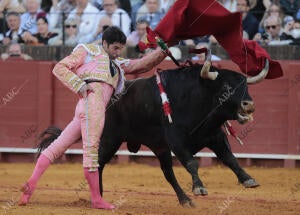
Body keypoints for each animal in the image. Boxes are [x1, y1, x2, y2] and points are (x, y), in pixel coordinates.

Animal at [38, 63, 260, 207]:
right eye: (226, 87)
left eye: (246, 86)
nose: (249, 105)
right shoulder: (176, 140)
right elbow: (191, 163)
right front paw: (199, 188)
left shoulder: (214, 136)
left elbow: (230, 158)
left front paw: (248, 179)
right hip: (109, 140)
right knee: (98, 163)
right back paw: (98, 197)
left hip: (159, 148)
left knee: (168, 173)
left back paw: (184, 200)